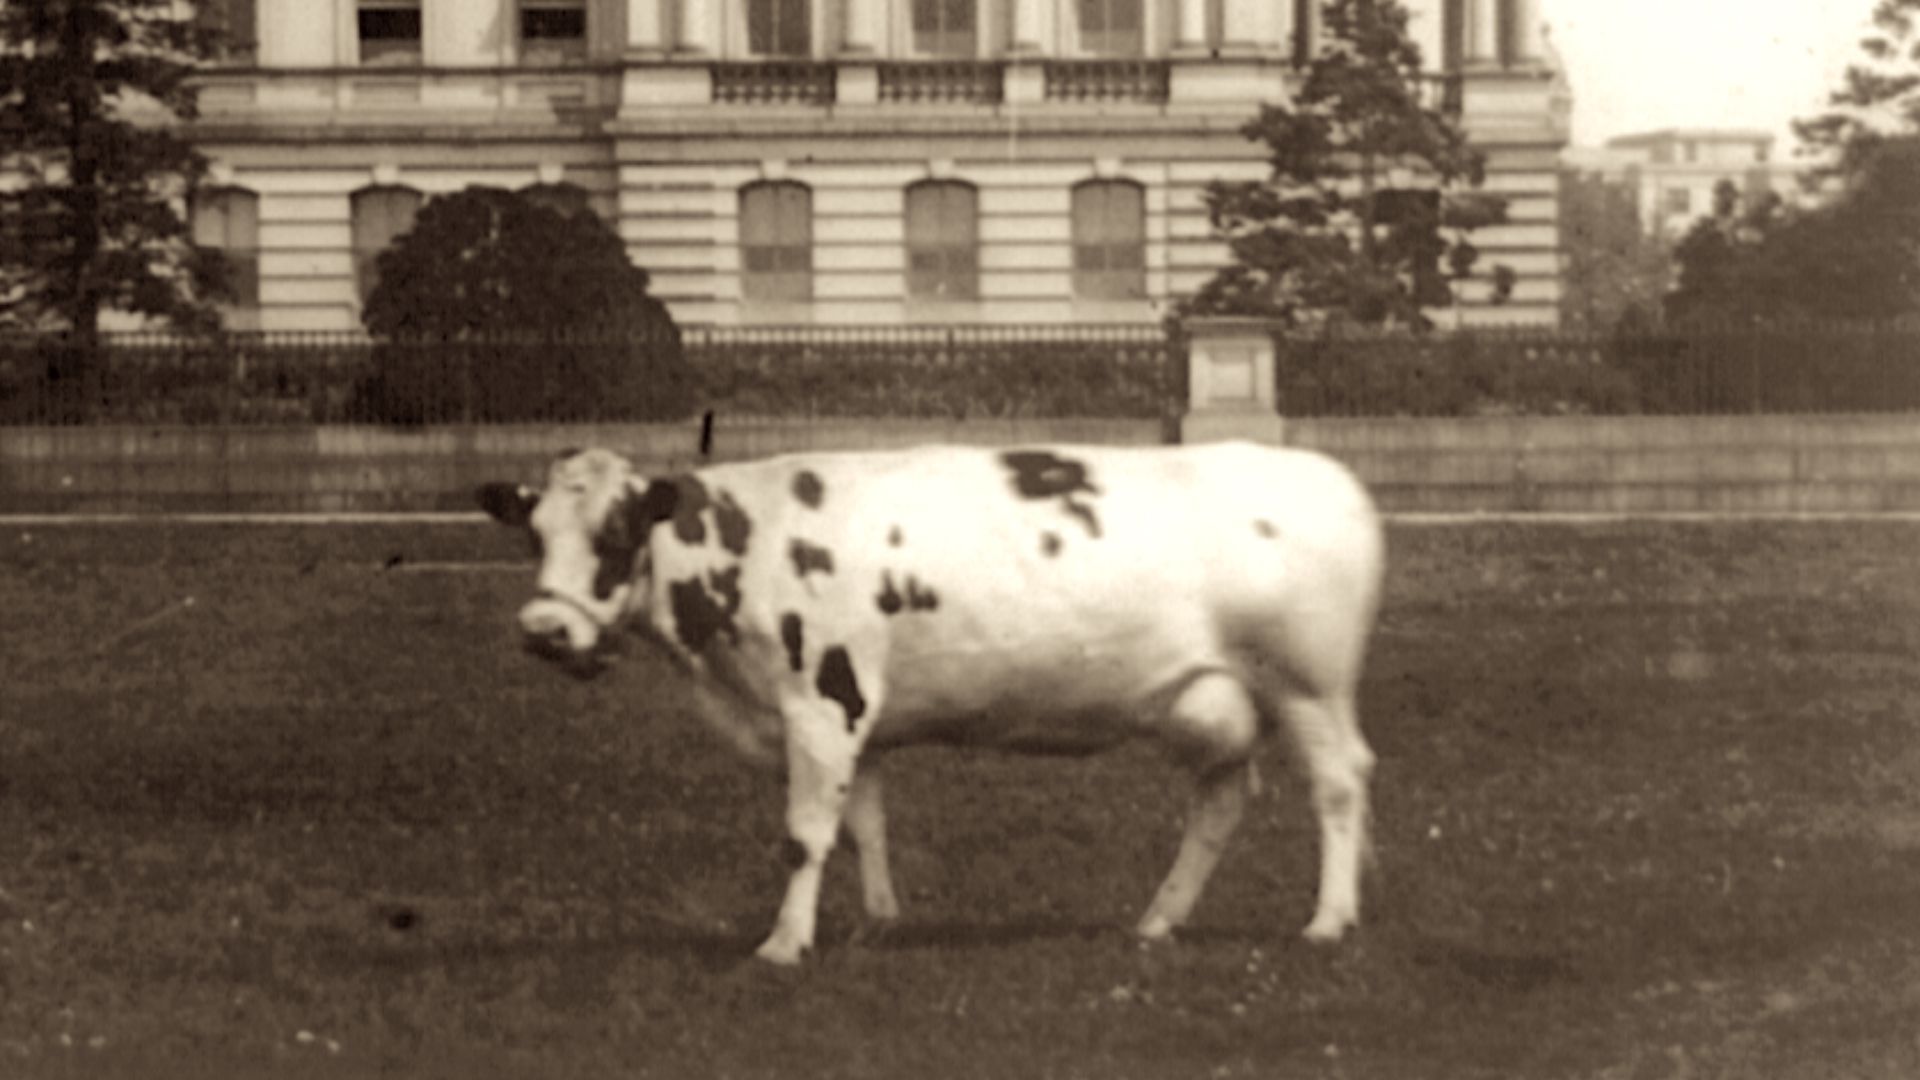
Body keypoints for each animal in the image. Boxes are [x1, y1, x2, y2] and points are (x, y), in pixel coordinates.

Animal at [478, 441, 1384, 965]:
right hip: (1216, 702)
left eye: (616, 533)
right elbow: (863, 825)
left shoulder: (821, 700)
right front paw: (876, 923)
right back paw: (1158, 922)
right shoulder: (856, 717)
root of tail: (1332, 475)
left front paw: (783, 943)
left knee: (1338, 786)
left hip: (1309, 685)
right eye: (534, 534)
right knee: (1221, 803)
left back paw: (1329, 920)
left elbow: (805, 836)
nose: (545, 630)